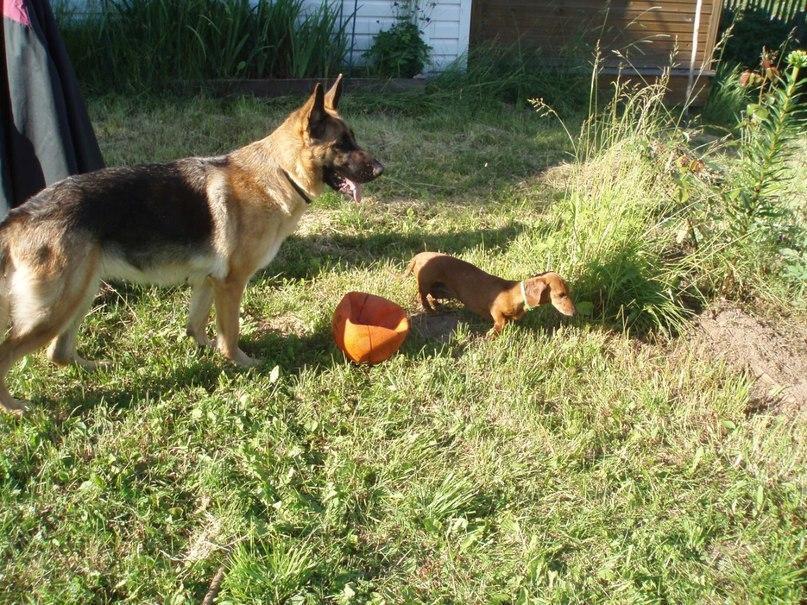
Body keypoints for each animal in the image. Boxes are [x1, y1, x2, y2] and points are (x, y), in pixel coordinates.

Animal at [0, 75, 384, 412]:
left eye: (354, 139)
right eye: (342, 144)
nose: (381, 170)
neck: (280, 172)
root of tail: (19, 215)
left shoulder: (209, 281)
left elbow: (197, 324)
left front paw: (206, 350)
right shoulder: (232, 283)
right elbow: (231, 332)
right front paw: (241, 363)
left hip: (80, 294)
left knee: (58, 353)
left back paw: (95, 368)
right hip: (55, 309)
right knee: (11, 354)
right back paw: (16, 407)